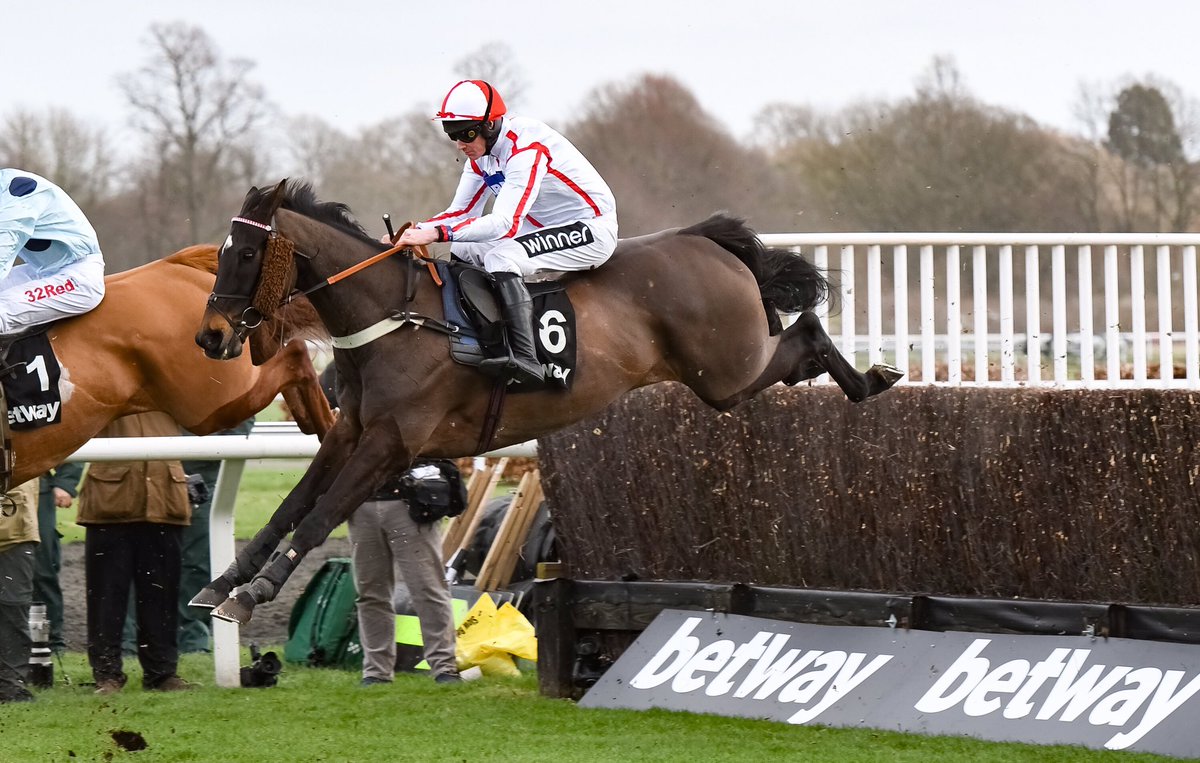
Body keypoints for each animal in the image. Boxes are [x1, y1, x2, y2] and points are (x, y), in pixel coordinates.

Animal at [189, 182, 902, 623]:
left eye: (245, 252)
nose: (211, 336)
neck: (393, 317)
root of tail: (704, 239)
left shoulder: (393, 443)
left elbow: (317, 518)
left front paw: (253, 595)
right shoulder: (349, 433)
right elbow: (289, 508)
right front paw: (221, 585)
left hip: (727, 372)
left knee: (806, 331)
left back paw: (873, 378)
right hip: (724, 375)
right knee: (799, 339)